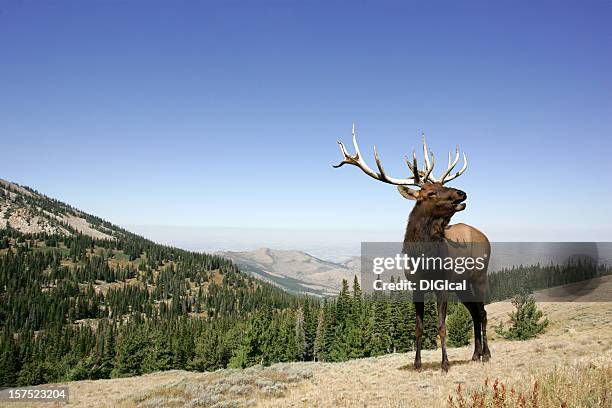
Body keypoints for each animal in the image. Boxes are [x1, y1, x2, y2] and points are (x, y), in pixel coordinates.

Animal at [334, 124, 492, 372]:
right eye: (431, 192)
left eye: (442, 185)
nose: (461, 193)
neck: (423, 258)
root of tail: (484, 236)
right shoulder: (416, 285)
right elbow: (418, 328)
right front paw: (417, 364)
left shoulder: (442, 284)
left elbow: (441, 326)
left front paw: (445, 364)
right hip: (463, 284)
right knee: (475, 314)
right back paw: (475, 354)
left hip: (479, 276)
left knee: (483, 313)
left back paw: (486, 354)